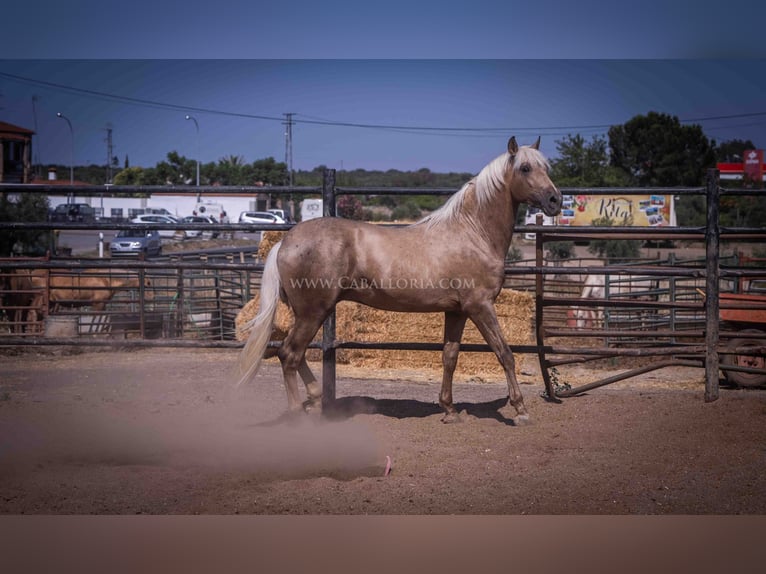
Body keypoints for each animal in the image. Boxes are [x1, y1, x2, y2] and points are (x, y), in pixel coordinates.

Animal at [240, 137, 564, 426]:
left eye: (546, 166)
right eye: (525, 168)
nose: (555, 200)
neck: (472, 233)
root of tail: (285, 241)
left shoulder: (457, 310)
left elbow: (450, 356)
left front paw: (449, 410)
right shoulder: (480, 306)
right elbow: (505, 354)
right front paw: (521, 411)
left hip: (310, 312)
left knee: (293, 352)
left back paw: (315, 396)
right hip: (312, 312)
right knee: (289, 354)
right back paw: (299, 412)